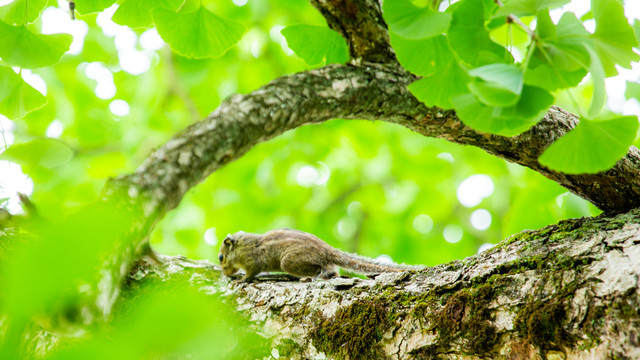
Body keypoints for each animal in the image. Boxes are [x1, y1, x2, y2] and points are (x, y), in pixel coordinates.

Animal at [218, 229, 422, 282]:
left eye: (221, 258)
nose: (226, 273)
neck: (240, 247)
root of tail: (328, 250)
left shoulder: (252, 260)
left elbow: (252, 272)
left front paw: (242, 279)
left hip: (290, 261)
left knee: (324, 270)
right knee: (334, 270)